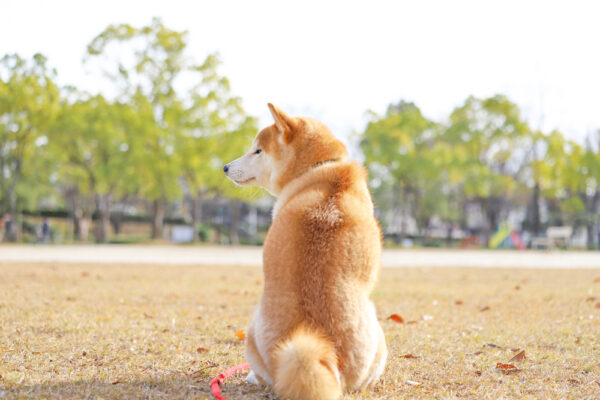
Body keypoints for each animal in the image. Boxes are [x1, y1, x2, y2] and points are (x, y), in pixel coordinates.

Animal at [223, 104, 386, 400]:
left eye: (257, 150)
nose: (225, 167)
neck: (319, 168)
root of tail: (322, 358)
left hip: (251, 332)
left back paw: (252, 376)